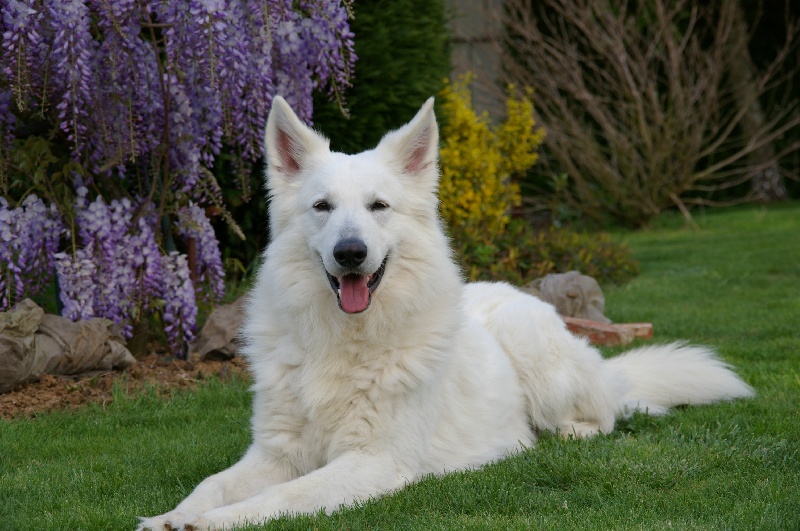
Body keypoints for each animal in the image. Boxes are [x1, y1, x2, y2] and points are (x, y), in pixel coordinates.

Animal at [139, 97, 756, 528]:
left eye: (378, 207)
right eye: (322, 207)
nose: (350, 253)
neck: (341, 340)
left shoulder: (372, 461)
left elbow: (280, 496)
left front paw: (210, 523)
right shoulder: (275, 452)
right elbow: (213, 483)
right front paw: (172, 516)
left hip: (537, 357)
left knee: (603, 415)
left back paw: (560, 434)